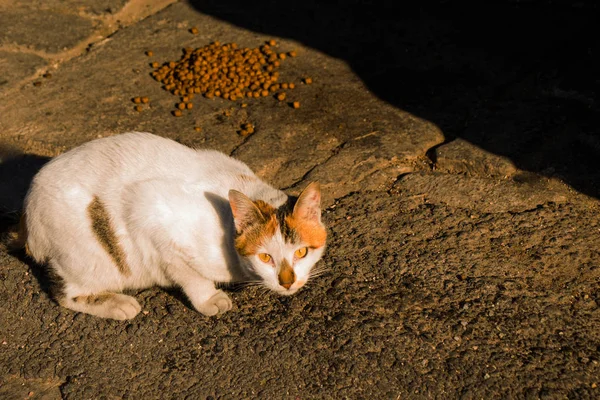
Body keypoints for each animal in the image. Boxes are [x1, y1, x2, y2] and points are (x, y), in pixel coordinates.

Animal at [14, 131, 326, 318]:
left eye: (301, 252)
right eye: (265, 257)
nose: (287, 282)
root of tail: (28, 212)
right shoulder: (148, 215)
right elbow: (190, 275)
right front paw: (210, 299)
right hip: (91, 259)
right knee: (65, 294)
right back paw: (118, 304)